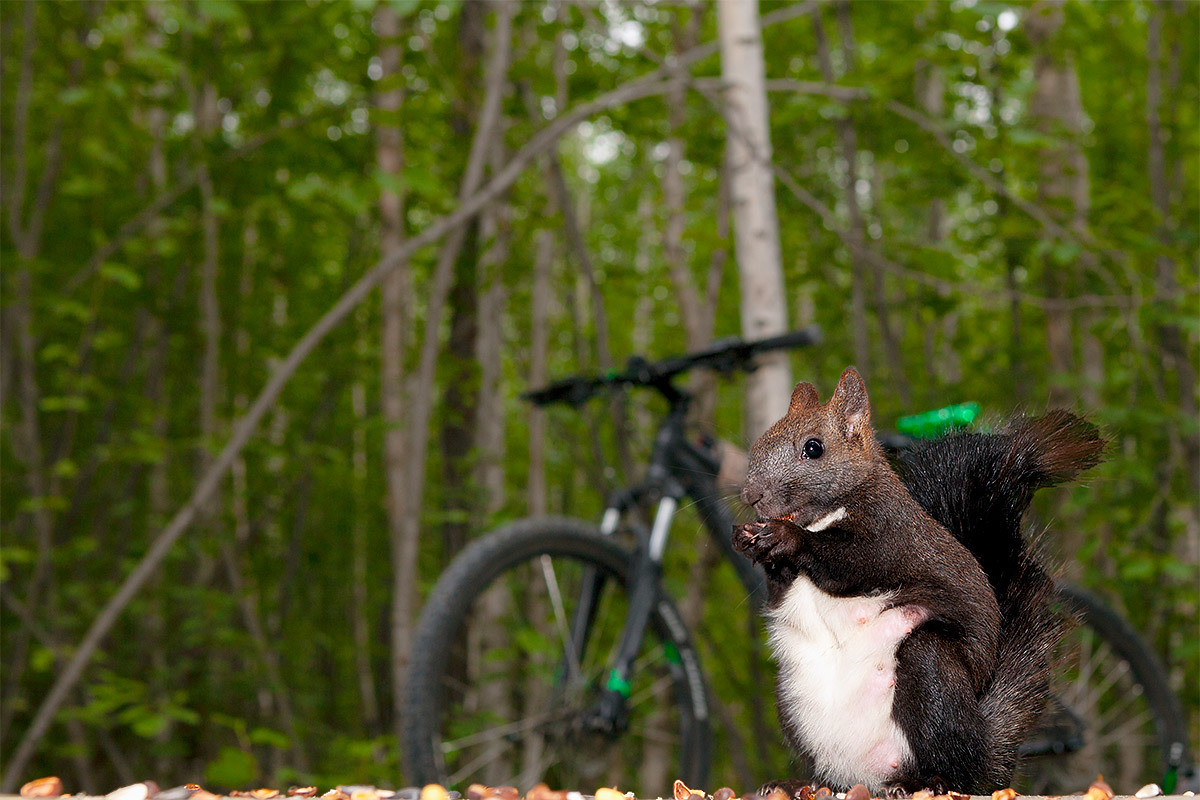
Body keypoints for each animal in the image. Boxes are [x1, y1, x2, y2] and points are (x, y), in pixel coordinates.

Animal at [729, 367, 1104, 796]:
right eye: (761, 441)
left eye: (814, 448)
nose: (751, 495)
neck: (825, 515)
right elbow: (781, 591)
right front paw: (748, 539)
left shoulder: (891, 537)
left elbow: (849, 563)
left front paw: (787, 538)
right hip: (792, 700)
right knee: (832, 777)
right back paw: (796, 783)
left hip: (929, 668)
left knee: (956, 766)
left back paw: (927, 781)